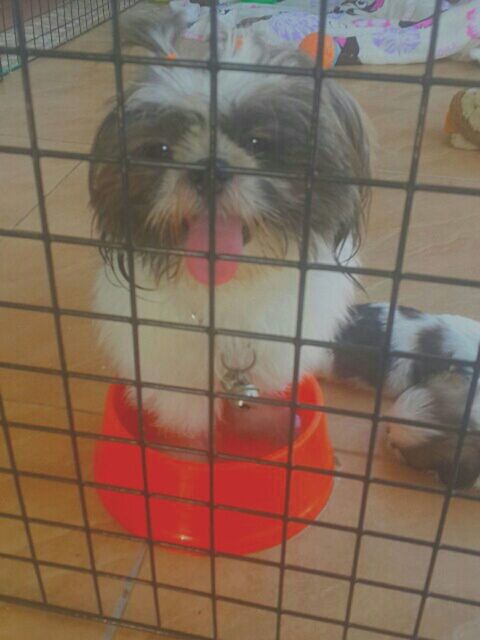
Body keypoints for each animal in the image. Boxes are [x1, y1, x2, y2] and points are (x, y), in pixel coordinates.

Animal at [90, 8, 480, 490]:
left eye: (259, 143)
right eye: (160, 149)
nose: (209, 168)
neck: (229, 286)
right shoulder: (177, 380)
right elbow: (194, 434)